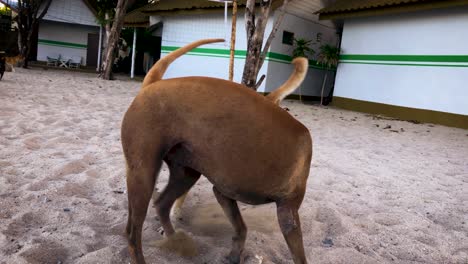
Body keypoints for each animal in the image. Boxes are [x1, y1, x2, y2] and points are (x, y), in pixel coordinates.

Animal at [120, 39, 312, 264]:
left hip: (185, 174)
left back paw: (177, 241)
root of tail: (152, 83)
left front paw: (234, 256)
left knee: (161, 205)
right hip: (144, 174)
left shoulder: (224, 194)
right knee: (133, 232)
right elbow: (298, 256)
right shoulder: (287, 213)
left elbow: (241, 229)